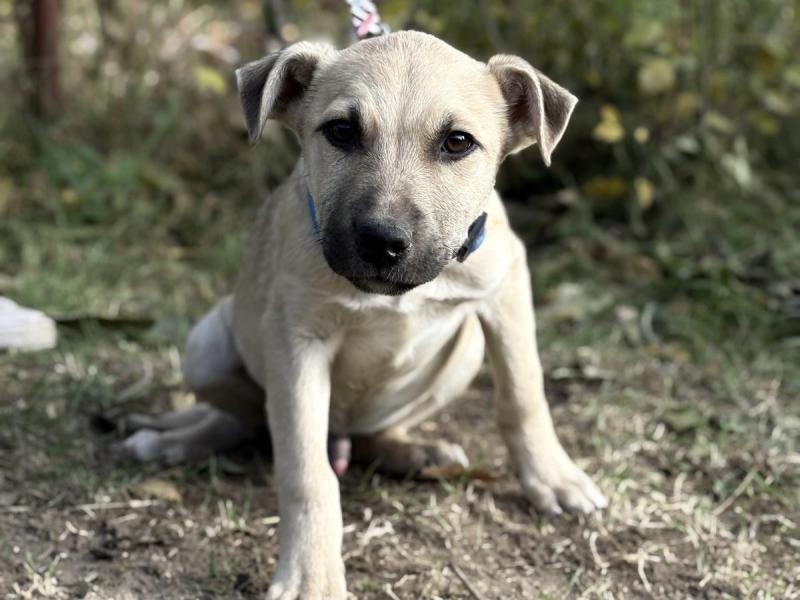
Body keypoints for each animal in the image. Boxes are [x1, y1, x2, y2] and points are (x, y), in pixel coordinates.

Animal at [120, 31, 607, 599]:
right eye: (341, 132)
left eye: (457, 142)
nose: (382, 241)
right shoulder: (296, 342)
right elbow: (305, 471)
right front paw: (310, 574)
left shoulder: (505, 285)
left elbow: (522, 394)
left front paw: (552, 478)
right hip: (207, 346)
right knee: (242, 419)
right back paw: (173, 443)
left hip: (464, 352)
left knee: (371, 431)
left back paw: (417, 453)